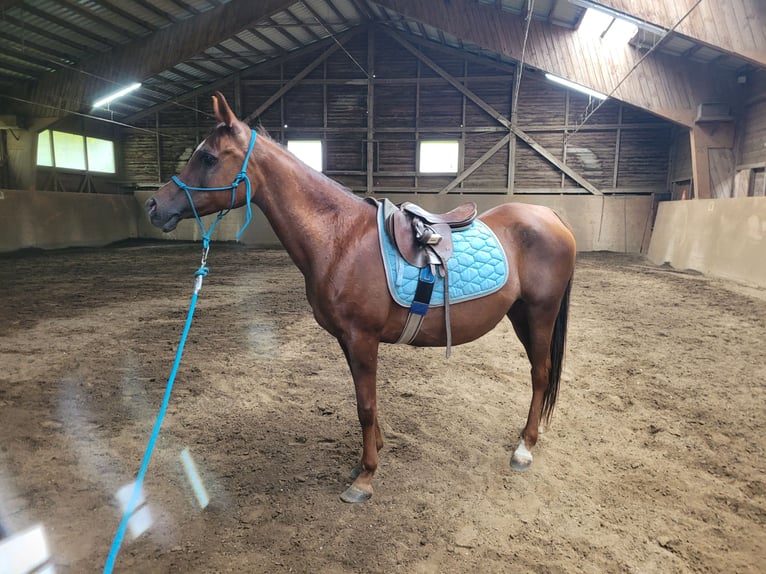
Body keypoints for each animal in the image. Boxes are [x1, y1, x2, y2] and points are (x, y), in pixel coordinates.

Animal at [146, 91, 576, 503]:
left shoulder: (362, 338)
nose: (154, 205)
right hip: (520, 315)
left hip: (541, 313)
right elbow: (362, 401)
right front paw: (371, 455)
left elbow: (366, 406)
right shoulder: (347, 340)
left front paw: (366, 477)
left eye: (207, 156)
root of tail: (550, 215)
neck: (341, 239)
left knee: (540, 374)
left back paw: (524, 448)